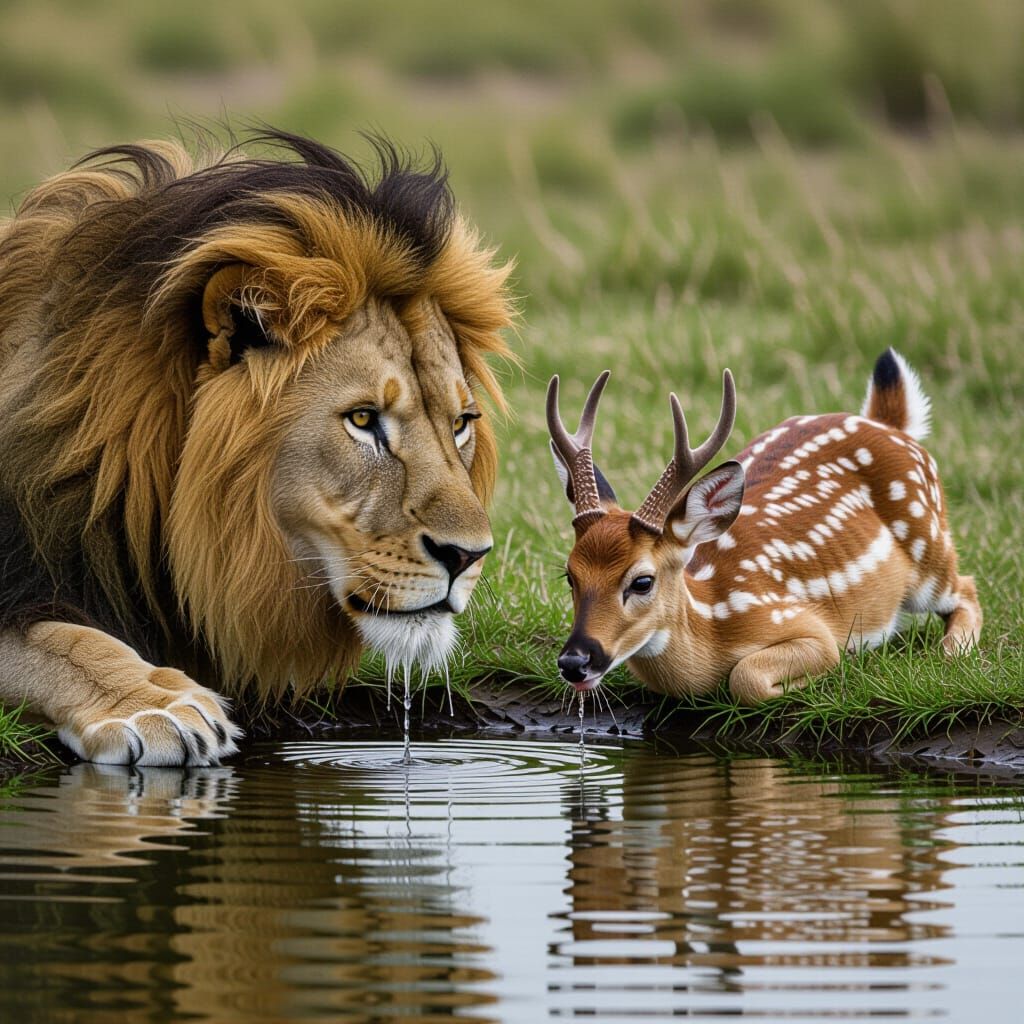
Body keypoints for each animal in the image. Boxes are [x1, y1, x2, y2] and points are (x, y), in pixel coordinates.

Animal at [546, 350, 982, 705]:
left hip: (928, 546)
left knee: (967, 589)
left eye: (641, 581)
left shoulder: (803, 624)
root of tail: (888, 425)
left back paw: (951, 652)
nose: (574, 661)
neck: (713, 620)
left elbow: (747, 678)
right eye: (570, 575)